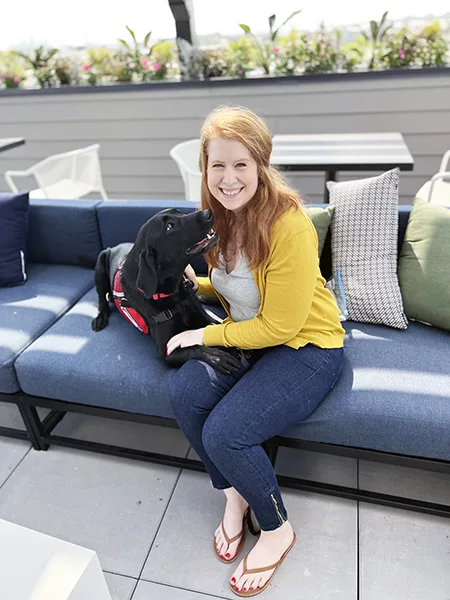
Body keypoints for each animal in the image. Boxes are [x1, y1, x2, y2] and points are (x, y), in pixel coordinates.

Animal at [90, 209, 244, 372]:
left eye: (178, 212)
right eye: (169, 226)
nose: (208, 213)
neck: (171, 292)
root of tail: (113, 247)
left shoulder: (204, 317)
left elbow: (213, 328)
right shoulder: (167, 351)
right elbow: (194, 348)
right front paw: (217, 357)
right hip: (100, 263)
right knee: (101, 299)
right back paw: (100, 318)